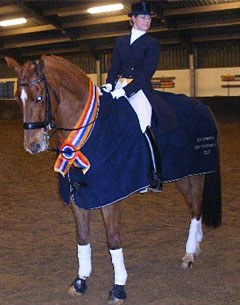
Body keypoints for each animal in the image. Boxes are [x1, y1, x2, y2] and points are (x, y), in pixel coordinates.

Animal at [5, 55, 221, 304]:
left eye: (39, 97)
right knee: (194, 208)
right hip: (182, 177)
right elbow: (82, 237)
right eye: (17, 99)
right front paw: (80, 281)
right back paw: (196, 246)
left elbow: (113, 240)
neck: (91, 130)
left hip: (195, 174)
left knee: (196, 209)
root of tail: (203, 108)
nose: (33, 146)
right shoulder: (78, 194)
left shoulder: (110, 197)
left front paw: (118, 288)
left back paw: (189, 254)